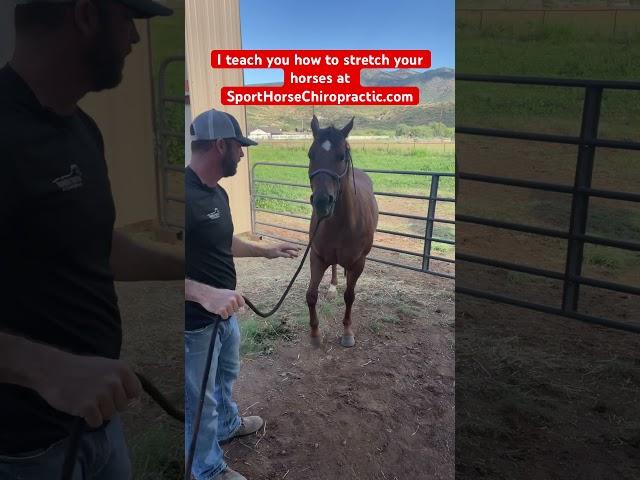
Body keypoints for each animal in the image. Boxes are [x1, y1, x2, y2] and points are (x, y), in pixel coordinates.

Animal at [306, 117, 378, 346]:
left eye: (341, 156)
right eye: (310, 154)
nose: (322, 202)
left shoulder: (358, 263)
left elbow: (349, 296)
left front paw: (347, 333)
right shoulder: (317, 257)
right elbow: (311, 295)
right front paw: (315, 334)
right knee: (335, 267)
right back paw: (332, 287)